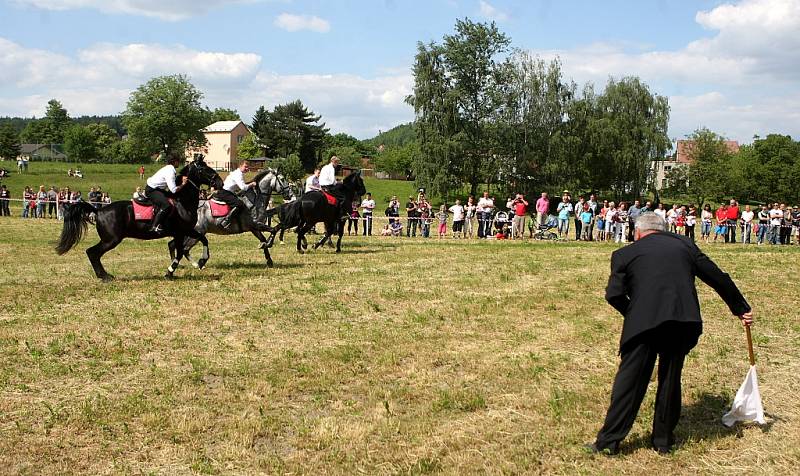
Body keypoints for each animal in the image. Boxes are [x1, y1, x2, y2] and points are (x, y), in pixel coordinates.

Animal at [55, 154, 222, 280]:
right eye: (204, 168)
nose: (219, 182)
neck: (182, 201)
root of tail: (98, 211)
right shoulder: (179, 232)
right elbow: (180, 252)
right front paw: (170, 272)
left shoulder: (186, 230)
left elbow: (203, 239)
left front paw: (200, 262)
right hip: (111, 240)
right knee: (92, 253)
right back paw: (105, 276)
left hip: (109, 239)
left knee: (93, 253)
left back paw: (104, 275)